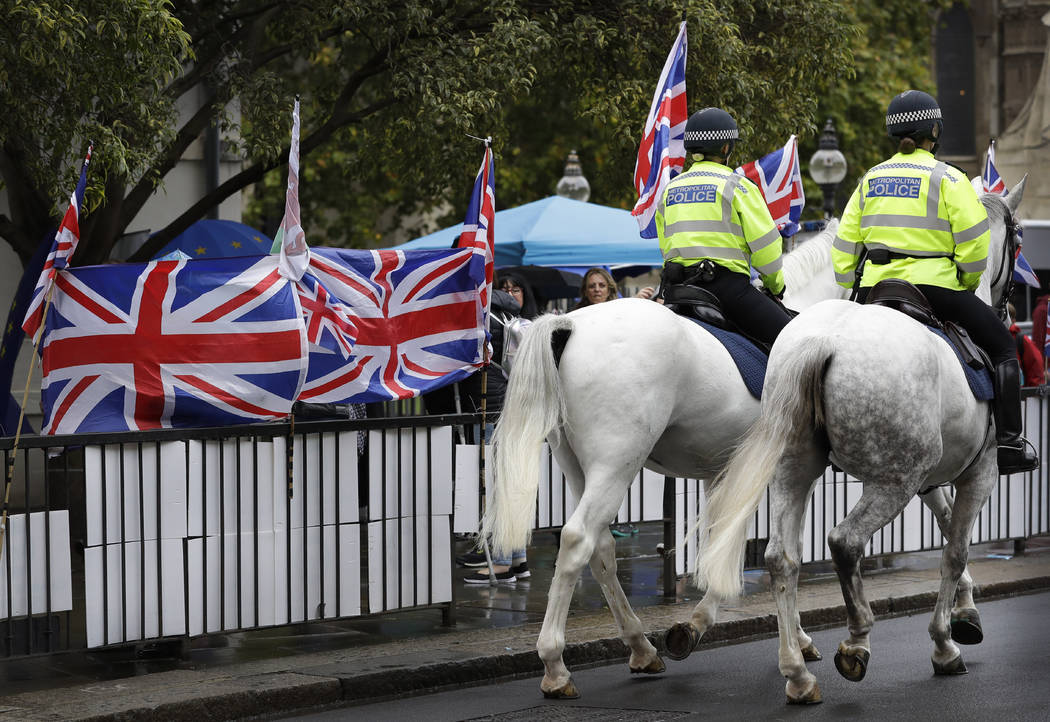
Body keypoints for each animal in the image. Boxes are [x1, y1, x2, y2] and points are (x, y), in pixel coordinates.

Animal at [697, 177, 1024, 701]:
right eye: (1016, 241)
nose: (1007, 305)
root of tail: (823, 341)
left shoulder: (931, 475)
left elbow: (946, 524)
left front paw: (965, 615)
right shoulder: (979, 471)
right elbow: (954, 551)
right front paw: (945, 642)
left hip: (796, 468)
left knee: (780, 557)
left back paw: (796, 670)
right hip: (892, 481)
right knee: (845, 542)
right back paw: (855, 642)